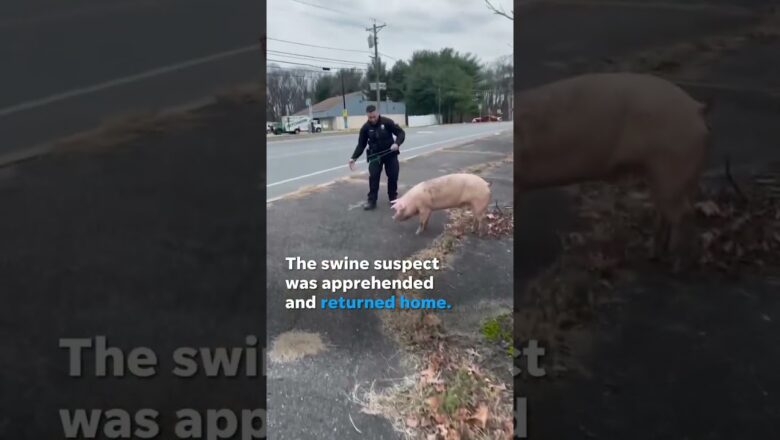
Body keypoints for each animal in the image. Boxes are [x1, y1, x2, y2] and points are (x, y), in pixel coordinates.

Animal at [516, 72, 712, 262]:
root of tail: (696, 108)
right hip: (671, 176)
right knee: (669, 212)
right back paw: (654, 255)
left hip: (672, 168)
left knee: (684, 216)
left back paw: (677, 263)